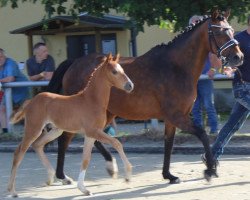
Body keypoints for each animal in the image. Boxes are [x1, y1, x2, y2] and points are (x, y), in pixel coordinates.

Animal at [7, 53, 133, 197]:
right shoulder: (93, 132)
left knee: (37, 145)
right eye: (114, 72)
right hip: (33, 129)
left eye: (123, 69)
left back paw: (51, 177)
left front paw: (84, 189)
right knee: (19, 153)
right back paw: (12, 191)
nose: (130, 85)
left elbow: (86, 159)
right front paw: (128, 176)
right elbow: (116, 143)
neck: (92, 100)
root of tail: (31, 101)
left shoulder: (90, 134)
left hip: (55, 131)